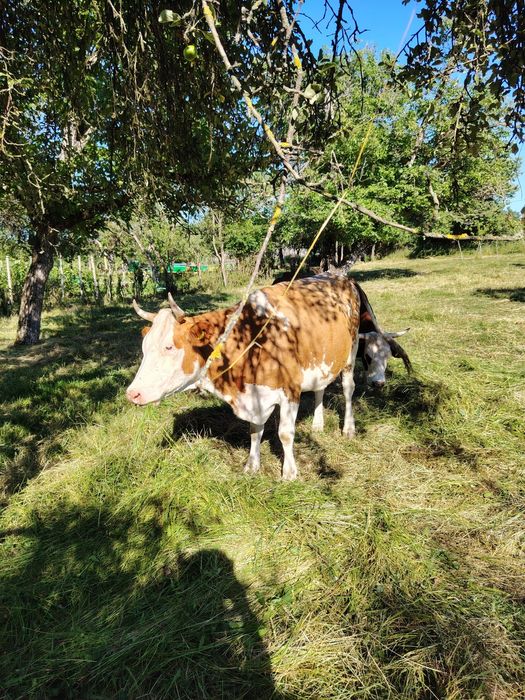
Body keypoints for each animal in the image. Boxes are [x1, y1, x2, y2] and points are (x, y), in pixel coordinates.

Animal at [126, 275, 411, 480]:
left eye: (169, 347)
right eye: (144, 348)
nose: (132, 393)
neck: (250, 340)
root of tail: (343, 277)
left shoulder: (290, 391)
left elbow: (285, 434)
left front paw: (290, 473)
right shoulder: (255, 397)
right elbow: (255, 431)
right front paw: (252, 465)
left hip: (350, 353)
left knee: (348, 389)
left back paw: (348, 428)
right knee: (319, 388)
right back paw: (318, 424)